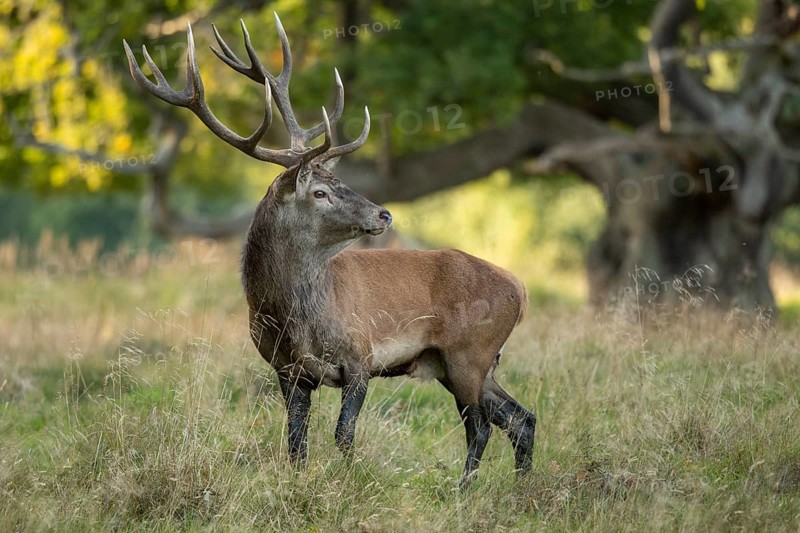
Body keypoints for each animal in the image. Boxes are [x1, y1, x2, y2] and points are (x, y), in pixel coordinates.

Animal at [123, 13, 536, 489]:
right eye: (319, 192)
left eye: (338, 183)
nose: (383, 213)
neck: (297, 321)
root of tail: (520, 289)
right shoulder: (287, 370)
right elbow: (295, 443)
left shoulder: (361, 355)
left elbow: (343, 434)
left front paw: (350, 483)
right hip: (467, 363)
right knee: (521, 419)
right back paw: (521, 488)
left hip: (470, 352)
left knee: (481, 426)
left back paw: (463, 491)